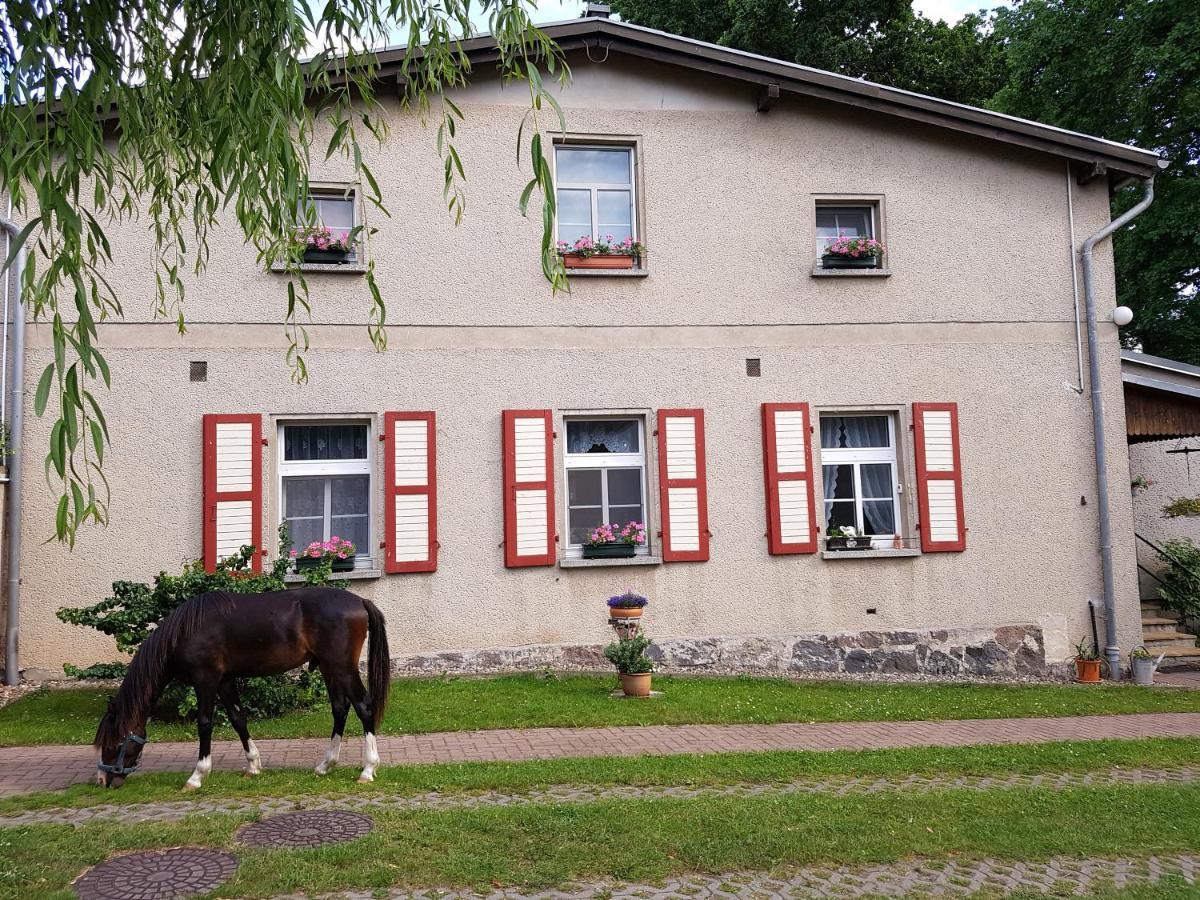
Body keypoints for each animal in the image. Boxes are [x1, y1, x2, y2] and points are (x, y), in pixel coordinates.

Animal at [97, 585, 391, 787]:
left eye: (113, 743)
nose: (102, 780)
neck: (186, 630)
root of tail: (360, 601)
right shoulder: (225, 680)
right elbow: (238, 719)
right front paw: (253, 766)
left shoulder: (205, 678)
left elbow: (204, 722)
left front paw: (197, 775)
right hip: (330, 668)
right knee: (340, 709)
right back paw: (325, 765)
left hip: (341, 667)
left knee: (363, 707)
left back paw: (368, 769)